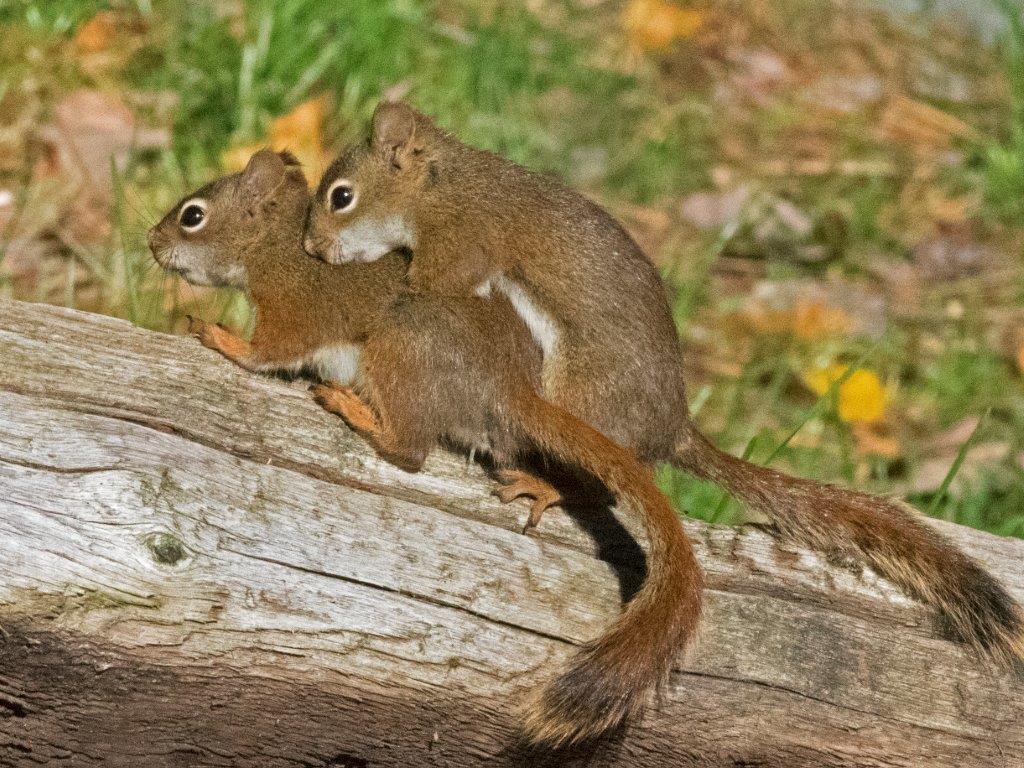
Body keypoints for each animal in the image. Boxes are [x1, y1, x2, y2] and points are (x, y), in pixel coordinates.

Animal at [148, 149, 704, 749]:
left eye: (193, 215)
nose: (151, 242)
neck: (276, 243)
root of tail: (511, 388)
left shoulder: (294, 309)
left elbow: (266, 353)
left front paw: (218, 336)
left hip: (400, 345)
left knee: (409, 451)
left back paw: (352, 407)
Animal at [303, 100, 1024, 668]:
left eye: (342, 195)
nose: (311, 249)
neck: (442, 184)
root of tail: (671, 429)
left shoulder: (458, 246)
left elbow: (425, 281)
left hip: (578, 395)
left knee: (595, 483)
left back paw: (545, 484)